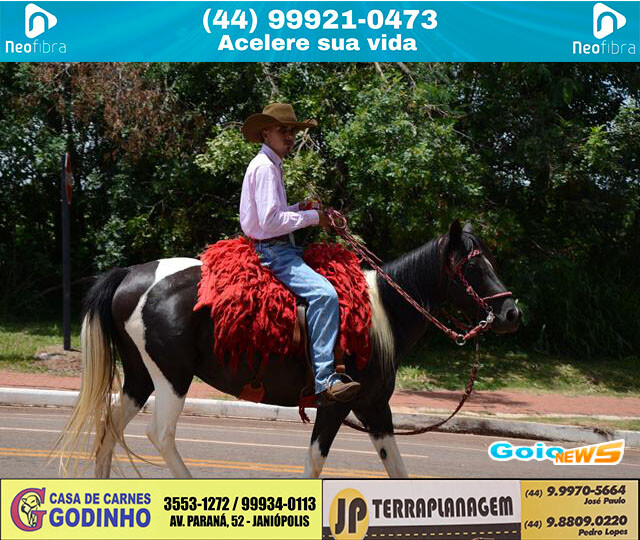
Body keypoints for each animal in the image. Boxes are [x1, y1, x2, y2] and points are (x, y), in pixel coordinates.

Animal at [56, 220, 520, 478]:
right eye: (473, 267)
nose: (512, 312)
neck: (379, 316)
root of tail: (129, 274)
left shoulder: (374, 407)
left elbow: (397, 469)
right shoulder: (335, 404)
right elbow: (314, 462)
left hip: (140, 378)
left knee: (109, 427)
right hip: (171, 377)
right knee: (160, 434)